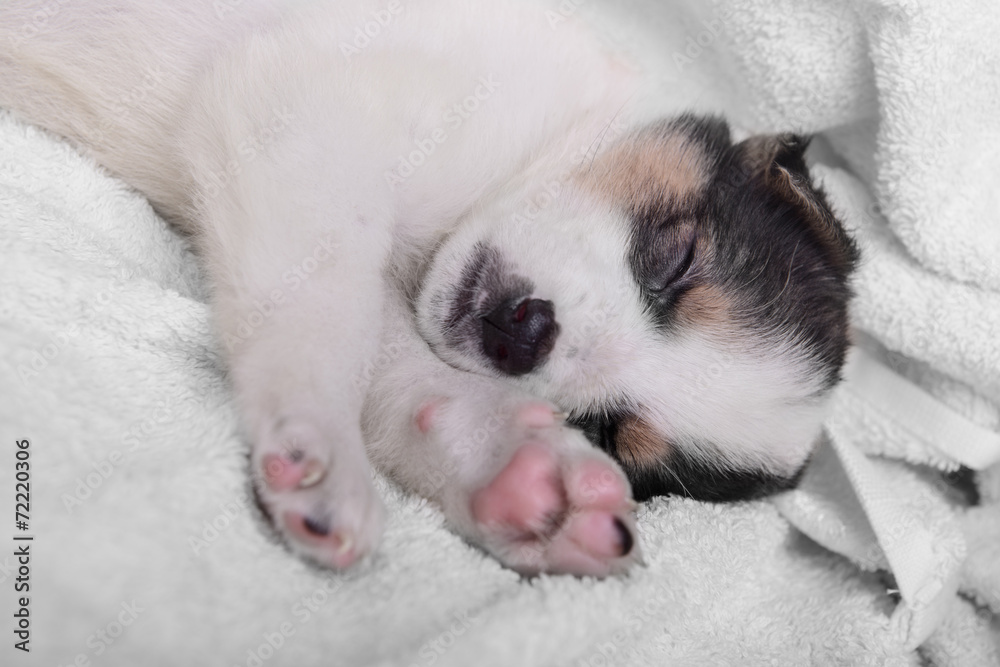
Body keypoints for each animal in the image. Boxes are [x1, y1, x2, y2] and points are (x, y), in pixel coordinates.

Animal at [1, 0, 860, 576]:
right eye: (679, 261)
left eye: (609, 431)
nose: (523, 332)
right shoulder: (305, 108)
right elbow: (326, 314)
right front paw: (318, 435)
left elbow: (390, 362)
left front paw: (506, 465)